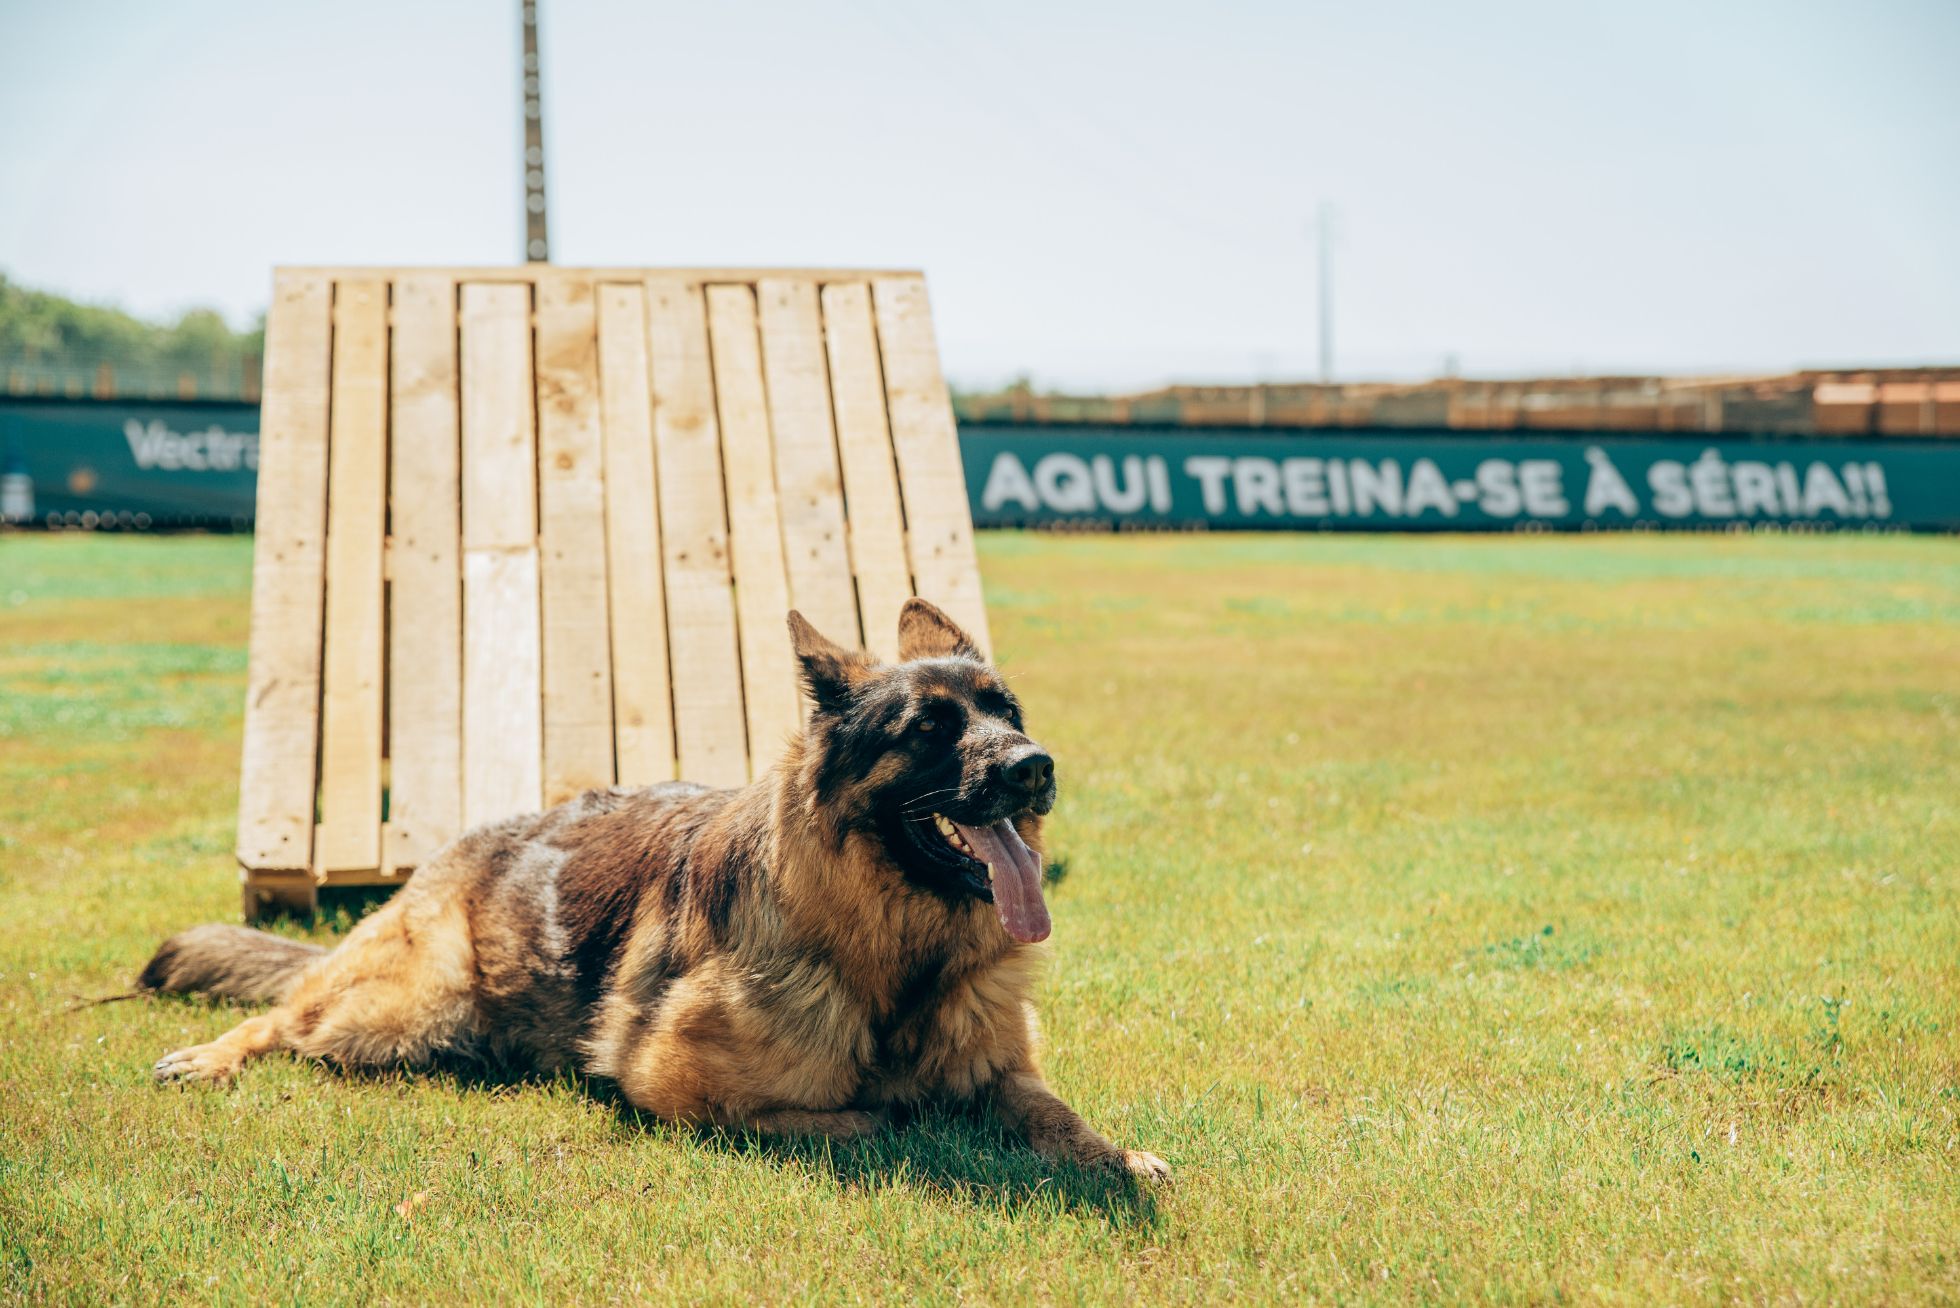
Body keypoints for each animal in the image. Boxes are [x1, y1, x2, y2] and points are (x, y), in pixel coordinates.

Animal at [148, 600, 1176, 1184]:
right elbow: (874, 1120)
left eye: (1007, 712)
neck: (894, 960)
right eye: (927, 729)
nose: (1036, 768)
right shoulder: (677, 1085)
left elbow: (1053, 1113)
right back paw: (209, 1057)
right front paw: (919, 1121)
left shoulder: (1006, 1071)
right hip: (402, 1004)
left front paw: (1117, 1157)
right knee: (284, 1014)